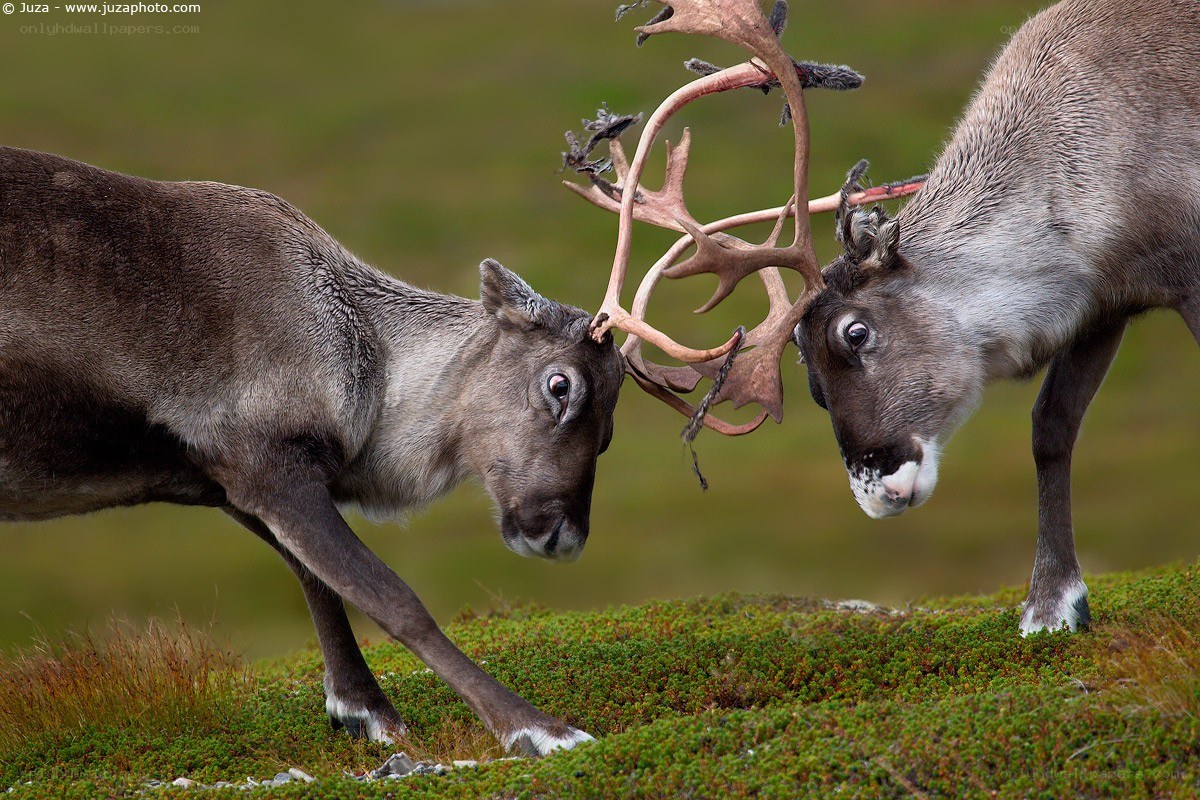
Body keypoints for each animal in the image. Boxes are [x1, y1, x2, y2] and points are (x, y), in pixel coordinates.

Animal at [0, 145, 624, 755]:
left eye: (610, 434)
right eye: (561, 385)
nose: (564, 536)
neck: (370, 367)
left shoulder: (229, 481)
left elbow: (318, 580)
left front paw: (361, 709)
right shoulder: (269, 468)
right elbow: (392, 598)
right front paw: (540, 729)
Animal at [564, 0, 1197, 637]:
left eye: (856, 331)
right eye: (811, 385)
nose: (875, 492)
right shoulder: (1102, 304)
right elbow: (1051, 428)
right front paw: (1051, 606)